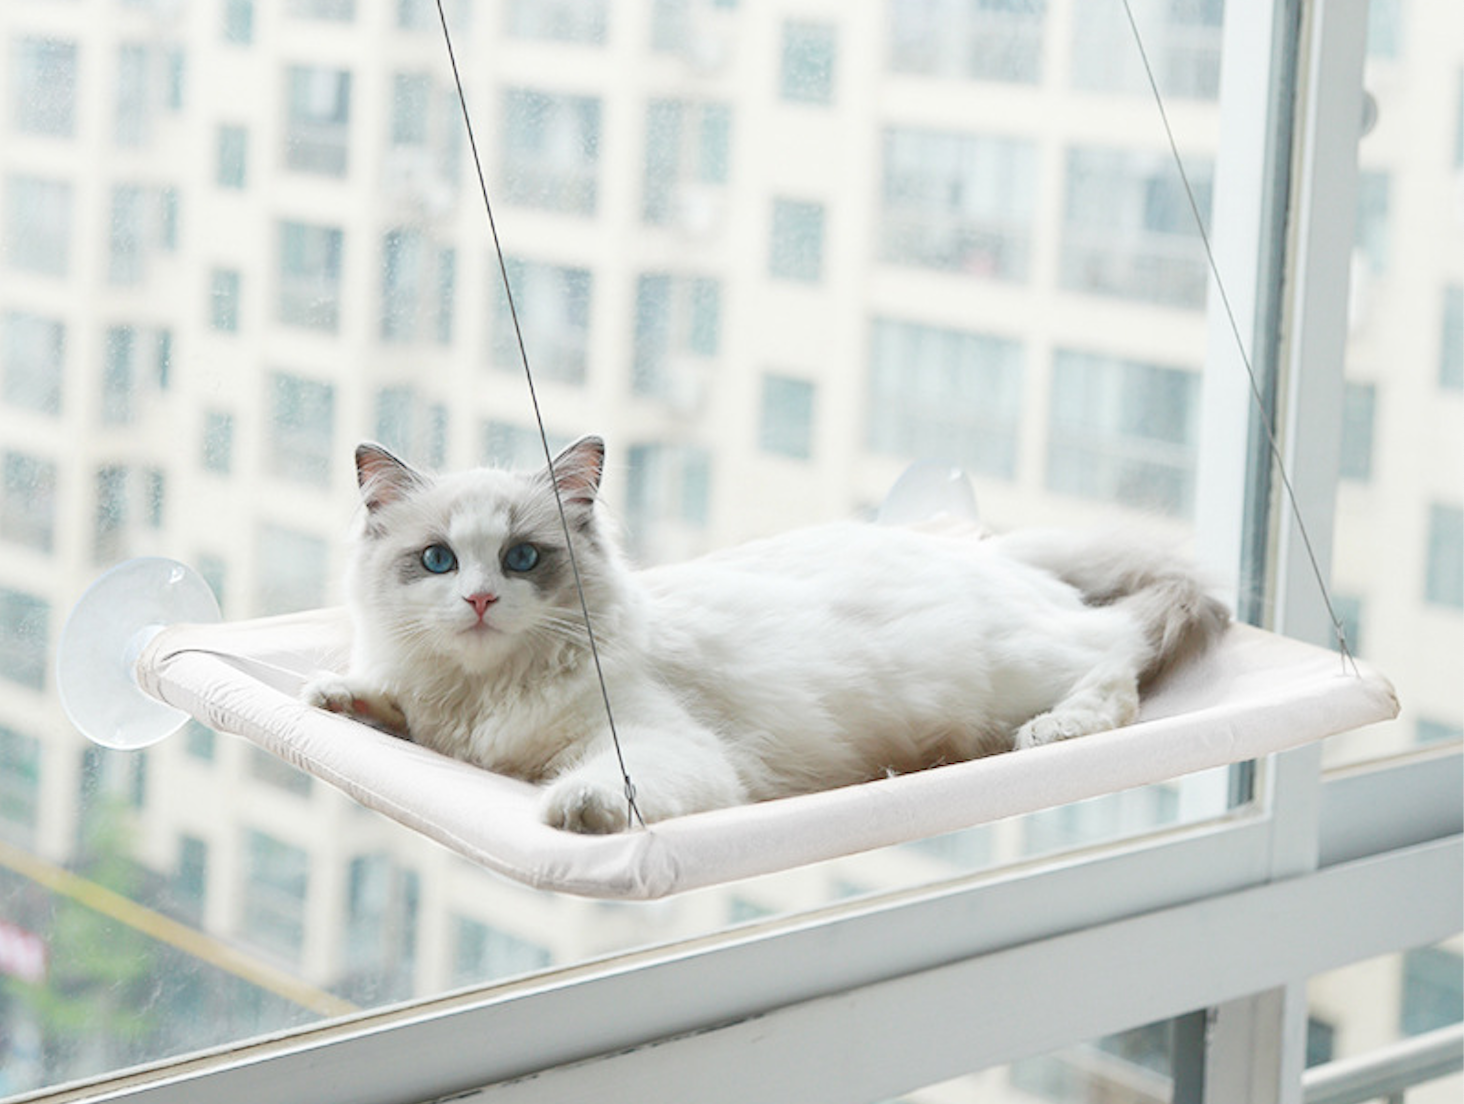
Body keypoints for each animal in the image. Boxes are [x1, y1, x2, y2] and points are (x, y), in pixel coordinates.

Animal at [303, 433, 1229, 831]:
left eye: (522, 557)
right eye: (438, 562)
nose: (481, 602)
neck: (485, 694)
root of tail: (985, 550)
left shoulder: (661, 746)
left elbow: (606, 782)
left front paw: (576, 808)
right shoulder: (441, 723)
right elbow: (391, 708)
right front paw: (340, 698)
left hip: (1019, 667)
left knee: (1116, 660)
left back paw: (1054, 730)